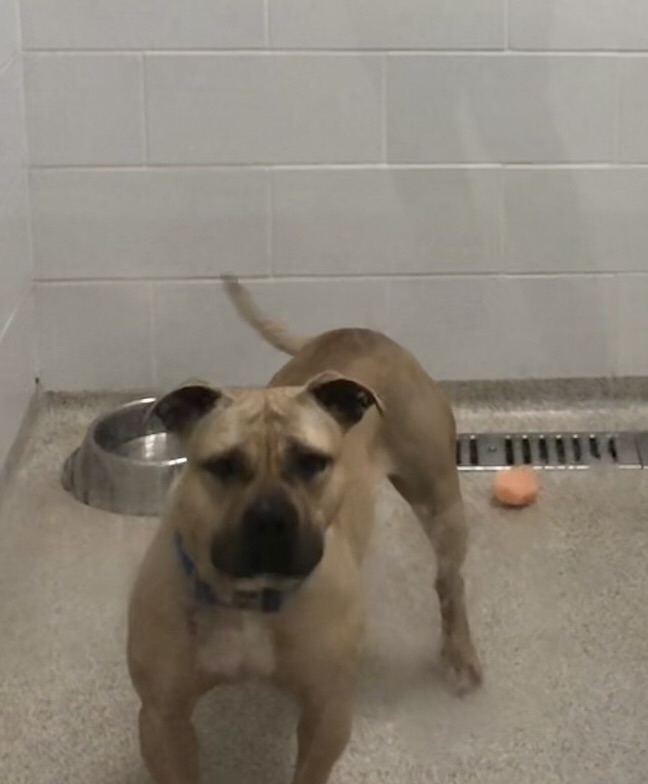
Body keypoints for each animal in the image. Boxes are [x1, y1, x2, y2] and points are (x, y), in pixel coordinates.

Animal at [127, 277, 482, 784]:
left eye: (313, 462)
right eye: (223, 465)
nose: (271, 517)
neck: (249, 599)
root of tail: (360, 332)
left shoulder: (327, 711)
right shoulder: (162, 718)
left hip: (439, 501)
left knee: (449, 580)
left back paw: (458, 654)